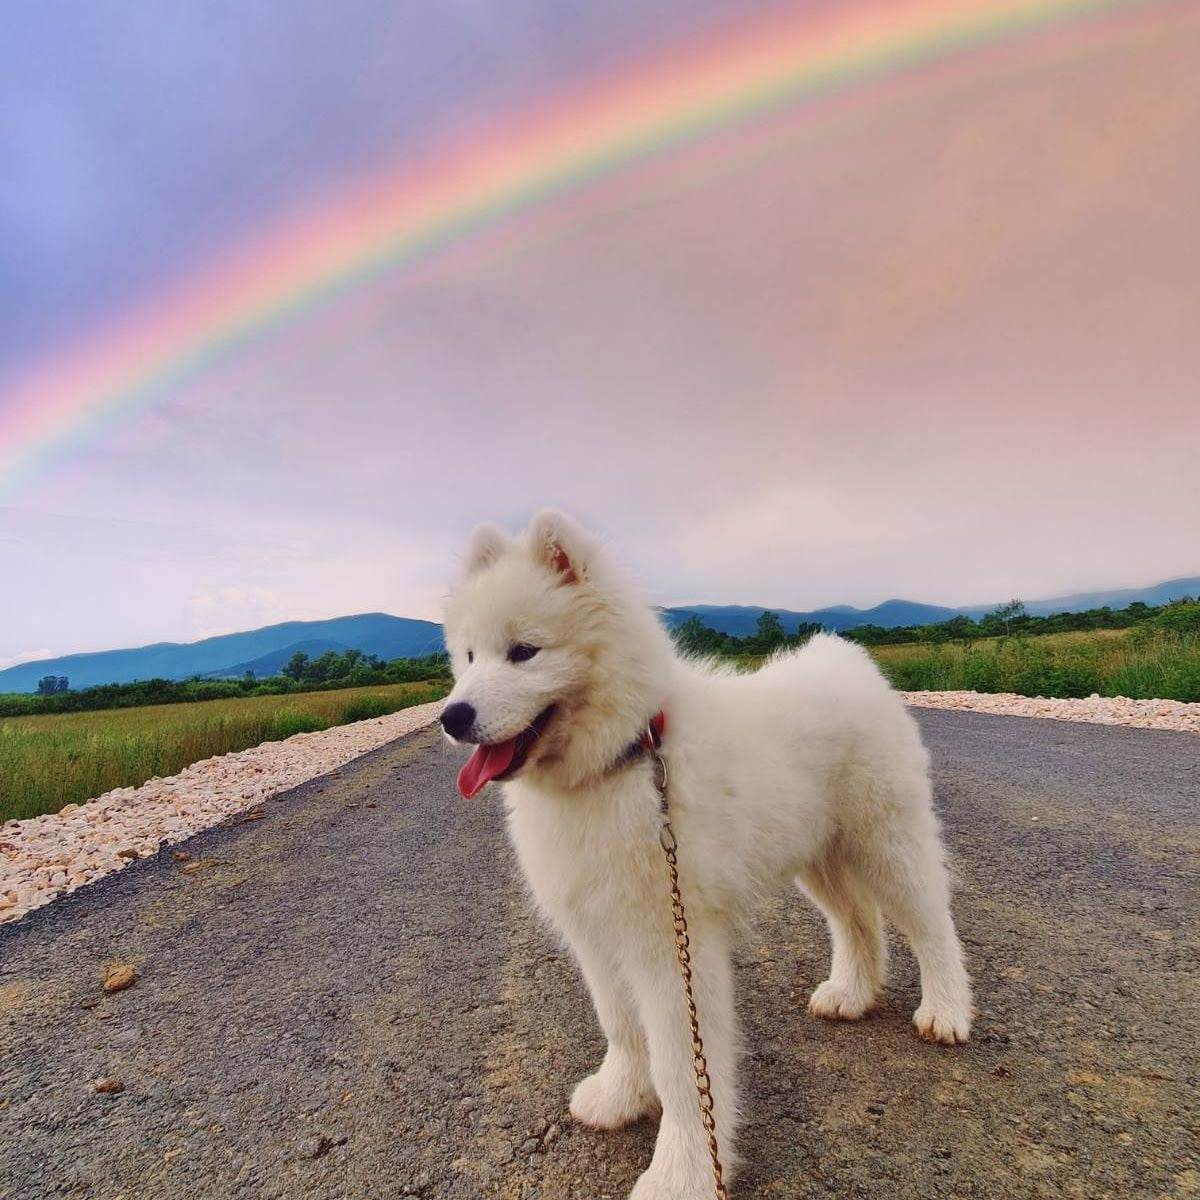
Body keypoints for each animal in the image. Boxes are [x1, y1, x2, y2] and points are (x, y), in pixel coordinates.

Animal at [441, 511, 974, 1195]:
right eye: (469, 656)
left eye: (524, 651)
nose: (452, 716)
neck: (625, 761)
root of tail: (846, 659)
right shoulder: (597, 931)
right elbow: (620, 1025)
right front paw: (620, 1096)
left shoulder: (671, 939)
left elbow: (681, 1065)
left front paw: (682, 1172)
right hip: (818, 857)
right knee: (858, 921)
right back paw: (851, 995)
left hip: (887, 838)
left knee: (931, 923)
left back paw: (946, 1010)